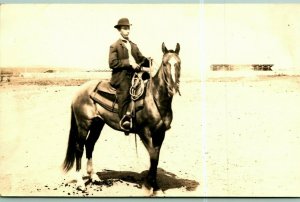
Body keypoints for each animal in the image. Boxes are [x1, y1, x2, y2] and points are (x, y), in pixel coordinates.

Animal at [62, 41, 182, 193]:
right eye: (165, 64)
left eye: (179, 63)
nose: (173, 88)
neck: (154, 99)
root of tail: (79, 91)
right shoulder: (145, 133)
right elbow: (153, 156)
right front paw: (149, 186)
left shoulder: (160, 134)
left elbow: (156, 157)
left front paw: (155, 186)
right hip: (84, 124)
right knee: (79, 147)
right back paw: (80, 183)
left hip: (97, 124)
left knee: (90, 145)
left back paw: (94, 177)